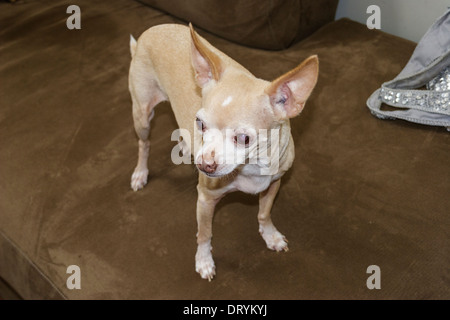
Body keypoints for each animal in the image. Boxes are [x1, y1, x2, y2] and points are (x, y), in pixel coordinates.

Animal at [129, 24, 320, 280]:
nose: (203, 165)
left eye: (244, 139)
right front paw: (203, 261)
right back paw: (140, 173)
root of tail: (151, 30)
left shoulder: (274, 184)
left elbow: (264, 213)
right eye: (200, 123)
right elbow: (204, 233)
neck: (251, 167)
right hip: (142, 116)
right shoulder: (205, 199)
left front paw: (270, 235)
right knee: (144, 144)